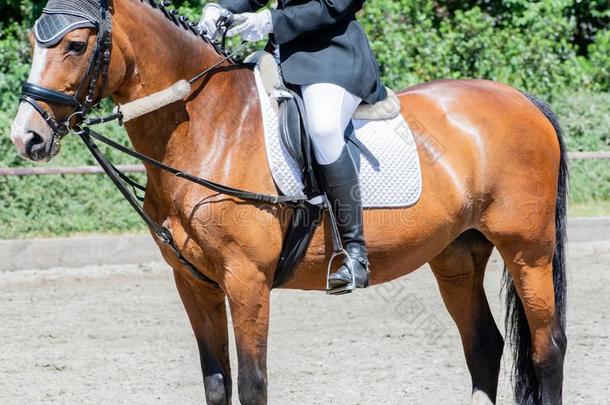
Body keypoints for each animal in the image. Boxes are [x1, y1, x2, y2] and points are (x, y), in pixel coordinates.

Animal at [9, 1, 568, 402]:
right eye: (35, 41)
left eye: (76, 44)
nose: (26, 137)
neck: (207, 127)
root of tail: (521, 98)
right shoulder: (194, 282)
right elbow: (217, 383)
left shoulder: (247, 280)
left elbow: (253, 383)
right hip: (456, 255)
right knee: (483, 345)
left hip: (527, 250)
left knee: (548, 348)